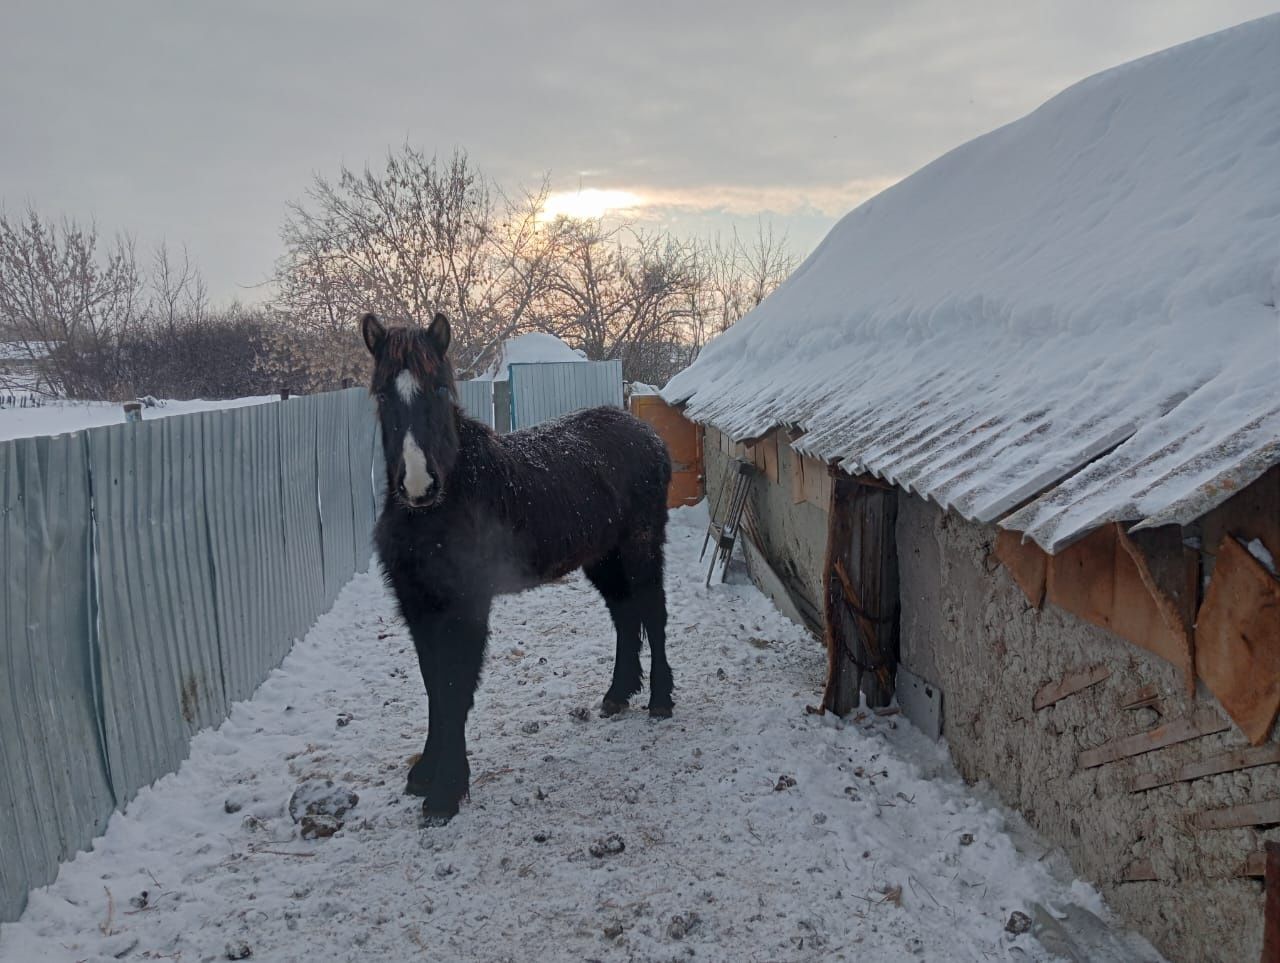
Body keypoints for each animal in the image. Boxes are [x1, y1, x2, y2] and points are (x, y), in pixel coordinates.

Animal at [366, 313, 675, 819]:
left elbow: (454, 687)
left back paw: (661, 700)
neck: (447, 505)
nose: (418, 485)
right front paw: (425, 774)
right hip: (603, 558)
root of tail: (647, 435)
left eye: (439, 389)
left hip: (641, 548)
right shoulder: (419, 607)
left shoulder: (466, 607)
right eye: (381, 394)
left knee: (653, 613)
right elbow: (435, 687)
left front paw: (446, 792)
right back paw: (617, 694)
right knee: (626, 615)